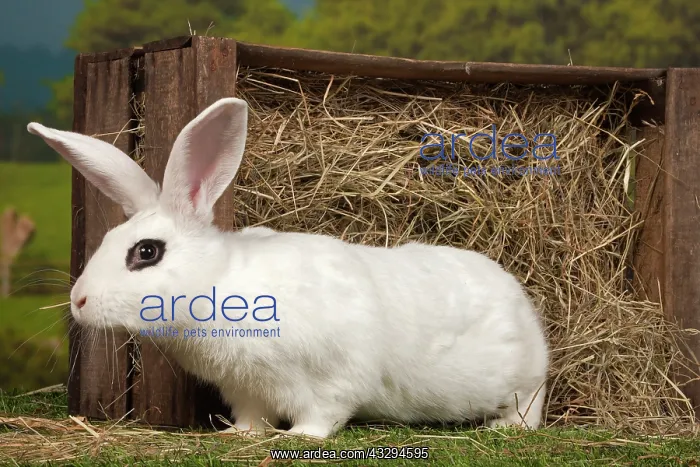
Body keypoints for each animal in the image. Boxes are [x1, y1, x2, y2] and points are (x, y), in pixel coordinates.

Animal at [27, 97, 549, 439]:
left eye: (147, 252)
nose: (78, 301)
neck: (221, 284)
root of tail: (522, 303)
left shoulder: (334, 376)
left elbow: (326, 413)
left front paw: (298, 438)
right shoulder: (245, 388)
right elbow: (252, 416)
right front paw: (239, 435)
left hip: (524, 382)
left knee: (529, 406)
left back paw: (506, 428)